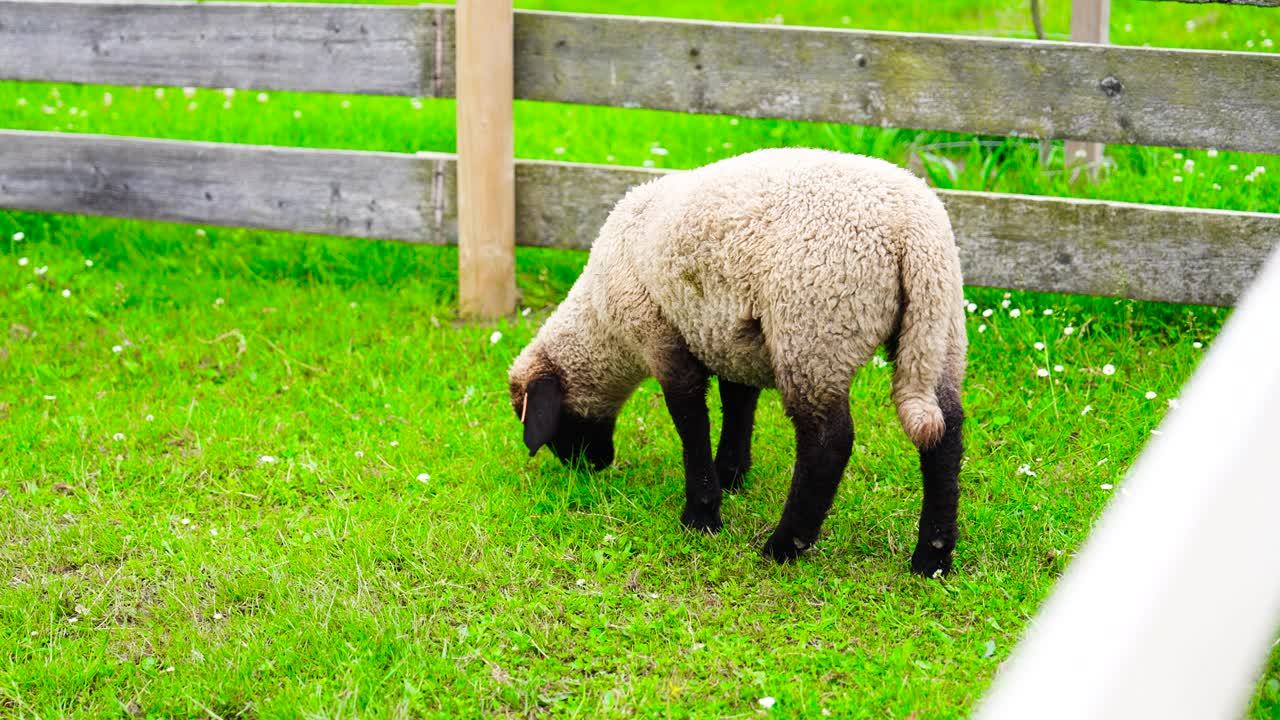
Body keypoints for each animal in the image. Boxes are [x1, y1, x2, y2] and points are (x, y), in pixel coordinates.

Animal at [504, 146, 962, 571]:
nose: (588, 466)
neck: (604, 324)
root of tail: (913, 232)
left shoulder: (661, 336)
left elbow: (691, 425)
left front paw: (701, 516)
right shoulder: (727, 337)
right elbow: (738, 404)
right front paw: (731, 475)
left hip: (814, 328)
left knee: (828, 442)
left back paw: (784, 546)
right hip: (938, 329)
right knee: (945, 434)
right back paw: (932, 558)